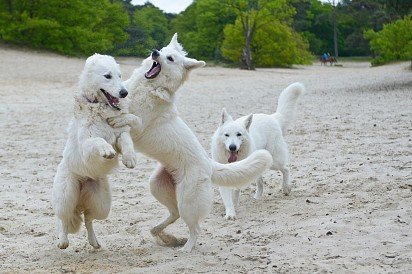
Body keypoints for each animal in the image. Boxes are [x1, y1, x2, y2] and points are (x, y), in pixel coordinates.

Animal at [51, 53, 137, 248]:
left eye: (120, 75)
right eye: (107, 76)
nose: (124, 93)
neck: (100, 107)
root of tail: (84, 181)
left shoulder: (119, 133)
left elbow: (126, 141)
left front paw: (130, 159)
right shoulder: (86, 146)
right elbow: (98, 140)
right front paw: (106, 151)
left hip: (102, 205)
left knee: (88, 217)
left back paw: (94, 242)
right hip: (66, 196)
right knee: (63, 218)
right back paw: (63, 240)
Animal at [108, 34, 274, 253]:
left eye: (170, 58)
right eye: (162, 50)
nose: (154, 52)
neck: (151, 88)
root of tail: (209, 164)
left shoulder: (140, 127)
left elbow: (132, 118)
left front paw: (118, 120)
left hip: (187, 200)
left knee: (195, 228)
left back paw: (185, 248)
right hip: (157, 186)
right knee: (174, 214)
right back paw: (162, 234)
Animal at [211, 82, 304, 219]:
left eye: (239, 134)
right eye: (226, 135)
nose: (232, 147)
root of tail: (273, 117)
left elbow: (235, 190)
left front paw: (234, 203)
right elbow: (228, 196)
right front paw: (230, 213)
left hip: (273, 160)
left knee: (286, 168)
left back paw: (286, 188)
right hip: (258, 163)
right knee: (261, 181)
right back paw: (257, 197)